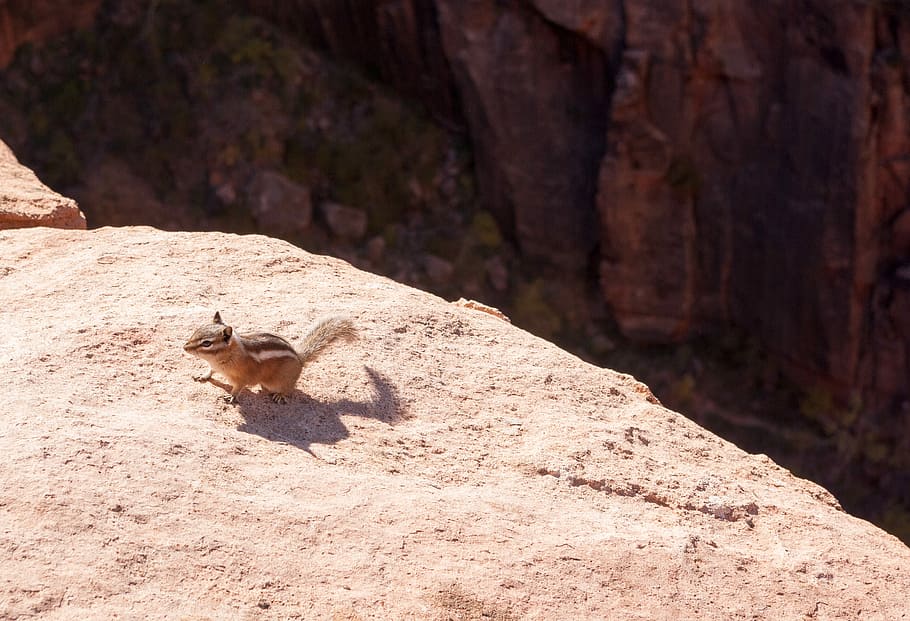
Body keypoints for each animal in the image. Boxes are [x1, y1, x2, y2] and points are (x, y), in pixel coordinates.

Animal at [183, 311, 356, 404]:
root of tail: (300, 358)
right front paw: (203, 376)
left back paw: (280, 395)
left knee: (288, 389)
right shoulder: (214, 367)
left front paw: (232, 397)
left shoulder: (242, 378)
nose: (184, 347)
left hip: (281, 381)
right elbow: (210, 371)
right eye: (196, 330)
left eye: (207, 343)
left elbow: (238, 388)